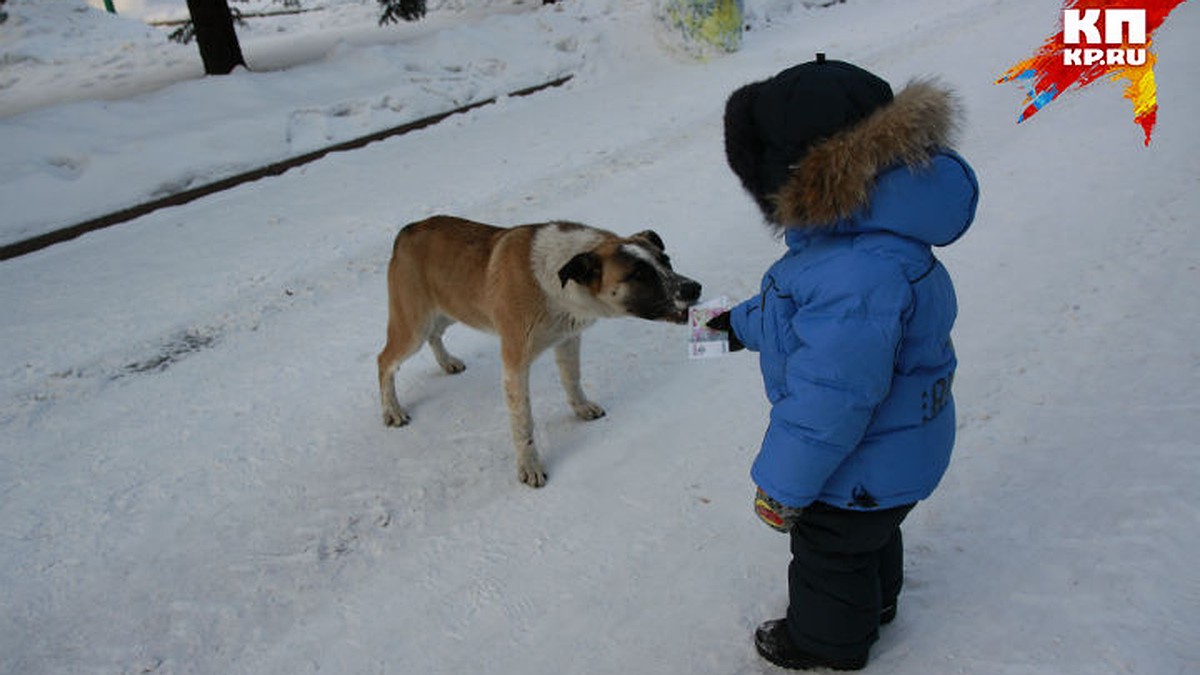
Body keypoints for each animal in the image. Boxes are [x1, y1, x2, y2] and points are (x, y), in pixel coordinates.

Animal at [376, 213, 700, 482]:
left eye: (666, 261)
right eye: (638, 275)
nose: (694, 288)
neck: (558, 283)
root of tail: (407, 230)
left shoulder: (568, 338)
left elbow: (572, 379)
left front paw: (581, 408)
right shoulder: (514, 362)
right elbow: (523, 423)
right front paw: (529, 467)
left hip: (448, 311)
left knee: (435, 335)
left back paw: (447, 362)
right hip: (414, 326)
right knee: (384, 361)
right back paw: (393, 411)